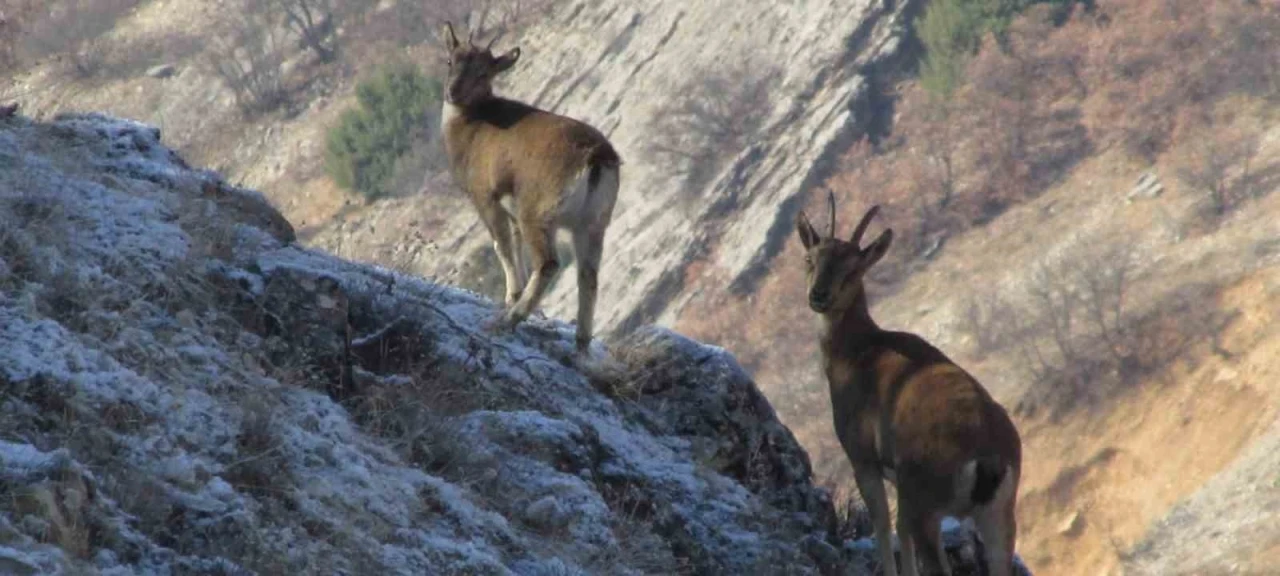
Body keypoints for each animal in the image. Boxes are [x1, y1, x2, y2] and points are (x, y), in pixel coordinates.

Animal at [440, 22, 619, 353]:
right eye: (450, 61)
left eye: (483, 72)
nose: (453, 92)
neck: (471, 127)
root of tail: (597, 157)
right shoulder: (512, 209)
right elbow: (516, 242)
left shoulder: (486, 197)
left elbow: (502, 245)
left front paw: (511, 297)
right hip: (591, 223)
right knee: (588, 275)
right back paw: (580, 346)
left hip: (539, 213)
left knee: (549, 263)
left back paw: (507, 321)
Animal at [793, 194, 1024, 576]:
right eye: (810, 259)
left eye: (853, 268)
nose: (818, 296)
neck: (857, 352)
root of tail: (989, 457)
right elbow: (900, 532)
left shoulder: (863, 459)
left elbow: (884, 527)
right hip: (998, 514)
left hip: (927, 502)